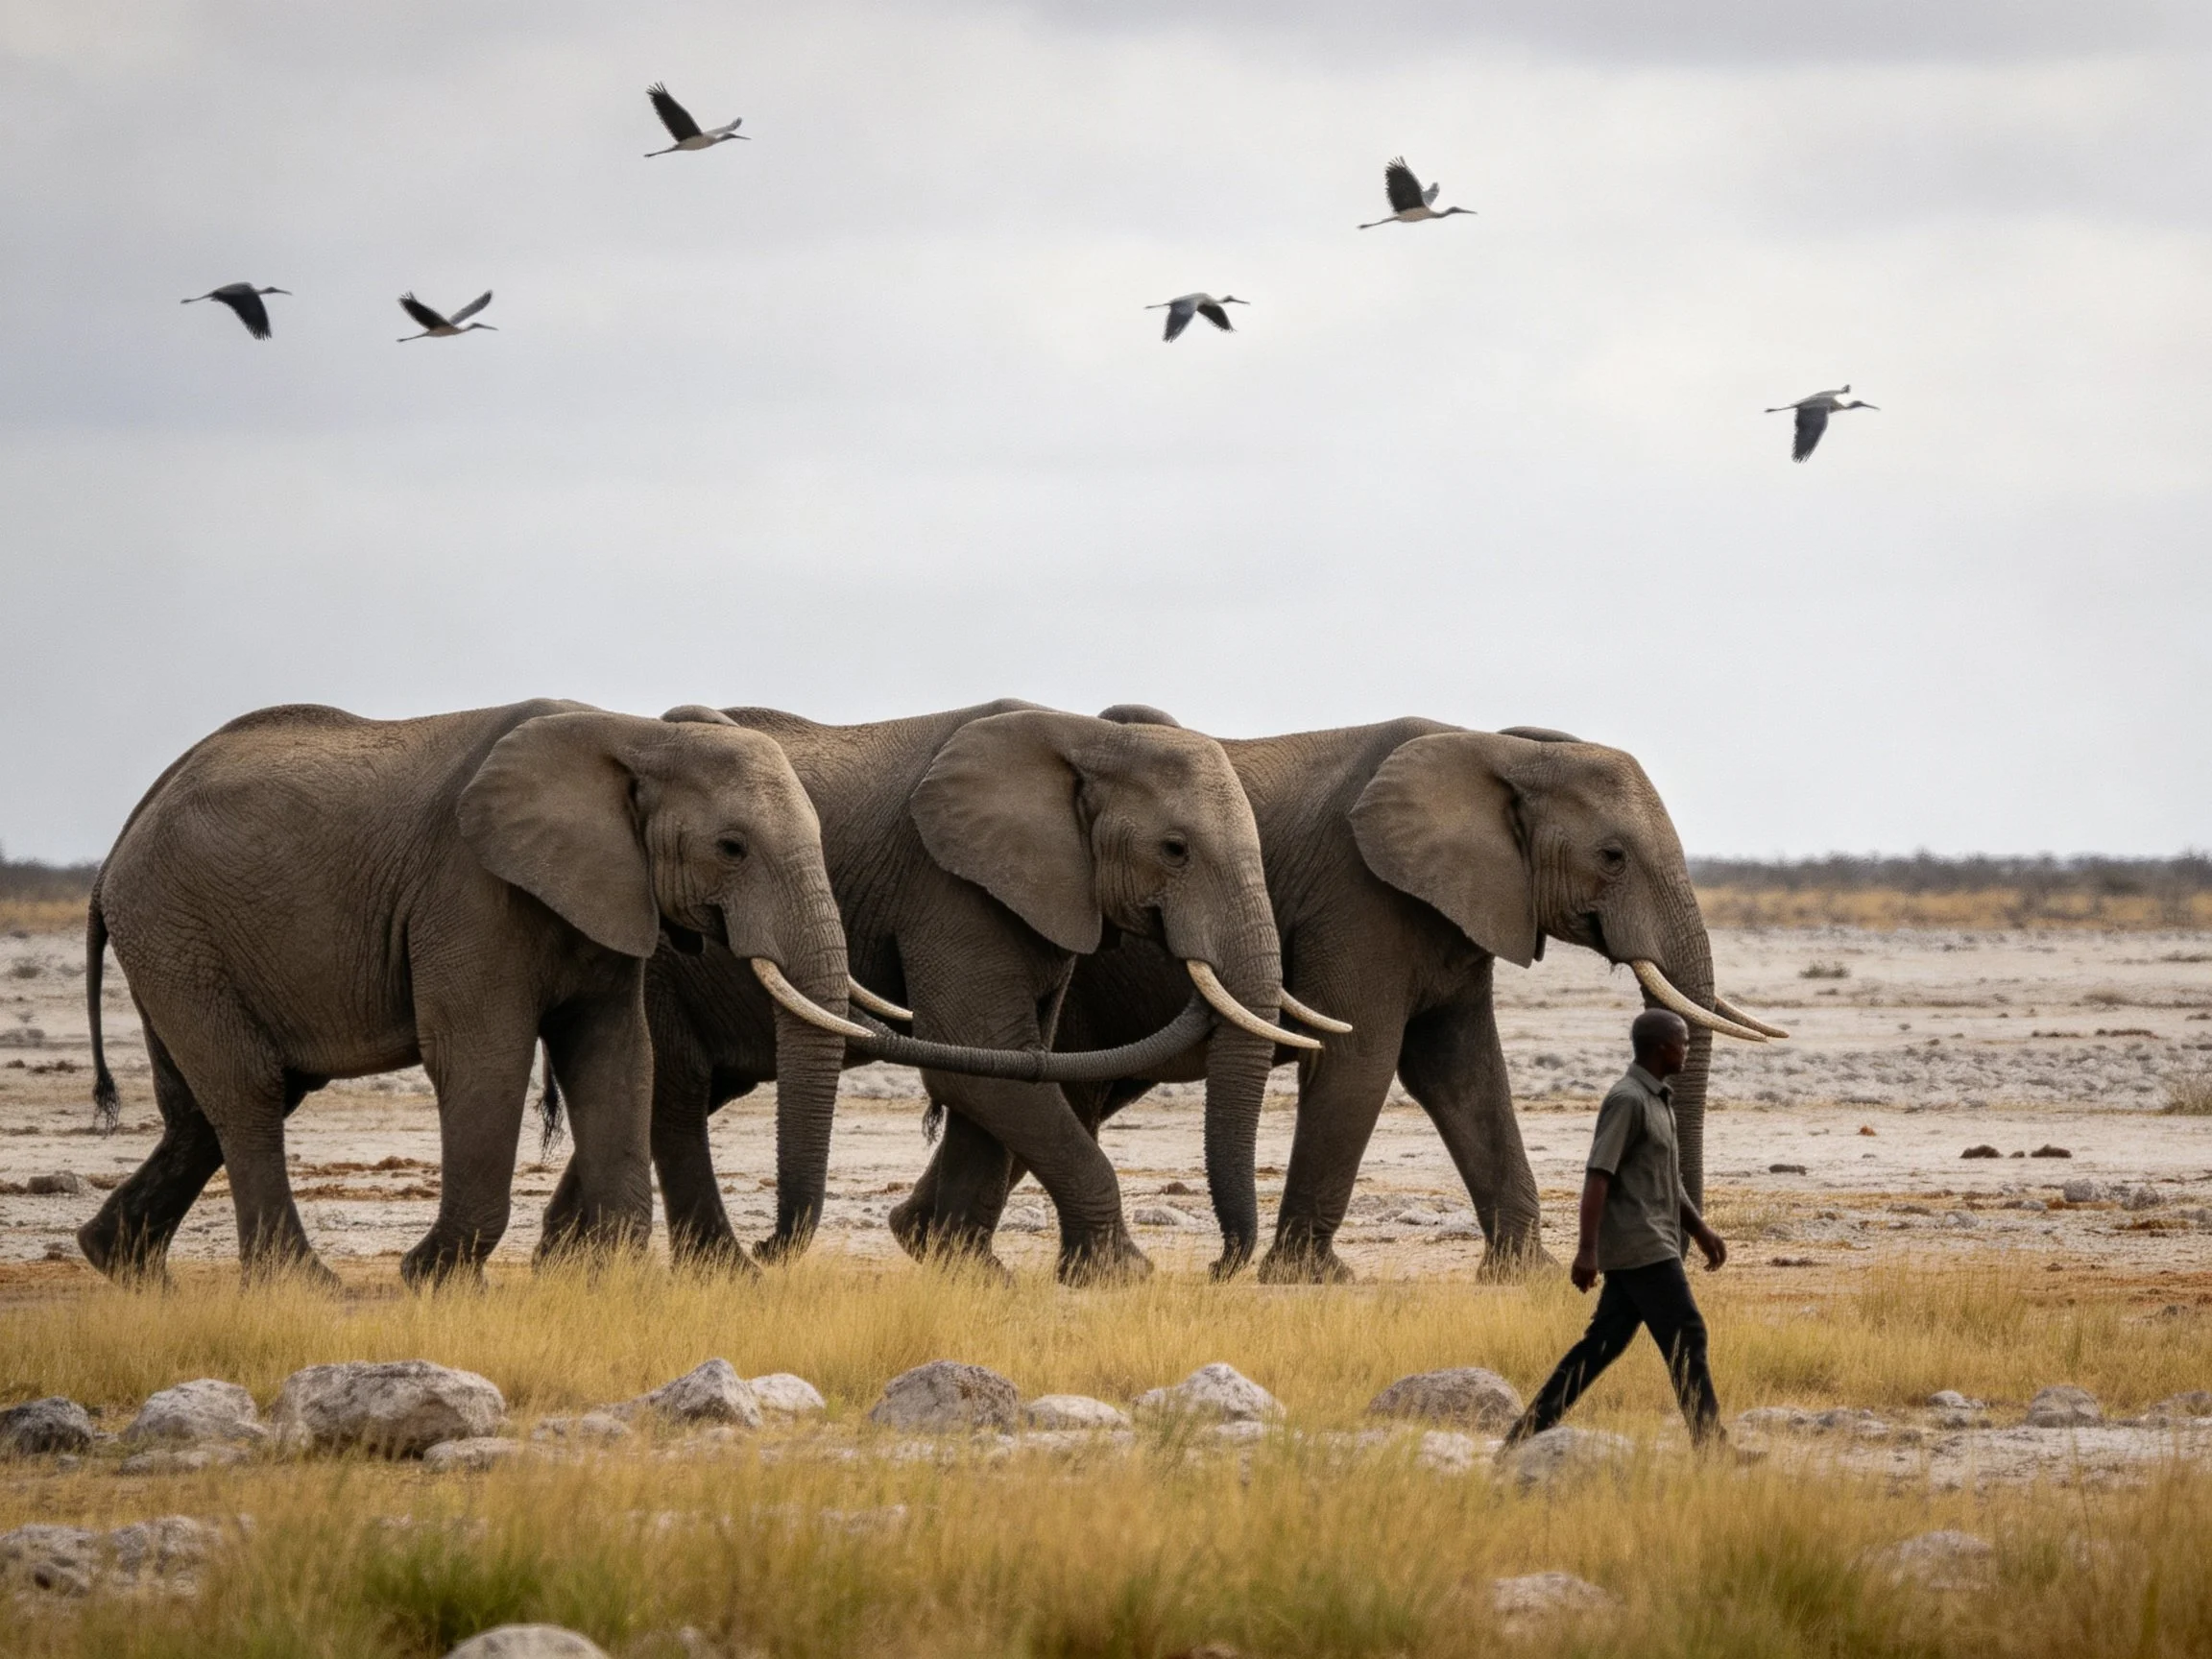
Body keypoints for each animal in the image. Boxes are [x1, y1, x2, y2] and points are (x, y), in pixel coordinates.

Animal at [76, 699, 871, 1287]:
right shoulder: (468, 893)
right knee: (250, 1092)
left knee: (205, 1109)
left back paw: (121, 1266)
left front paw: (609, 1281)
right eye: (731, 848)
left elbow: (617, 1055)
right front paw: (434, 1278)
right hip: (174, 928)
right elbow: (484, 1056)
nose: (768, 1250)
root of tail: (118, 843)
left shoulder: (610, 894)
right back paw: (302, 1286)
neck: (635, 733)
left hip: (177, 945)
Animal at [575, 700, 1319, 1283]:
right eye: (1175, 850)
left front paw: (964, 1267)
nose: (1219, 1267)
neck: (1080, 736)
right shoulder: (950, 886)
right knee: (674, 1095)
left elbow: (1007, 1062)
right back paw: (714, 1269)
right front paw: (1122, 1276)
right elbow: (980, 1059)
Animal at [895, 714, 1787, 1282]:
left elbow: (1464, 1076)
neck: (1498, 749)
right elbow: (1364, 1059)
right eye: (1611, 857)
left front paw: (1522, 1276)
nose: (1700, 1256)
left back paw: (919, 1243)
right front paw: (1307, 1280)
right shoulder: (1362, 900)